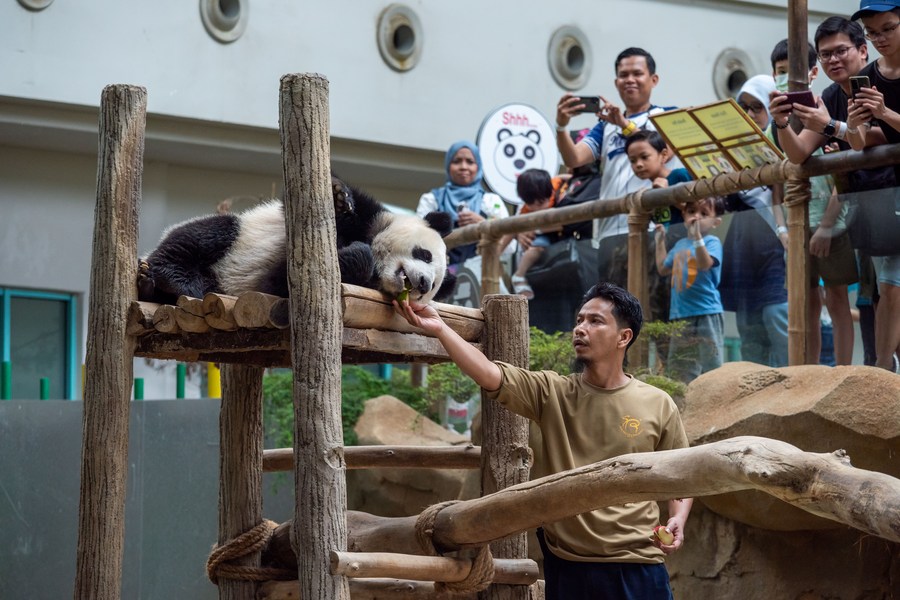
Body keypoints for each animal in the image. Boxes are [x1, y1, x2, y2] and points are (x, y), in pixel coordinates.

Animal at [137, 175, 458, 304]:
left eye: (433, 289)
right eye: (425, 254)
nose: (423, 283)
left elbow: (285, 281)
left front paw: (353, 256)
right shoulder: (371, 216)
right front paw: (341, 200)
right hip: (239, 234)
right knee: (205, 234)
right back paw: (172, 278)